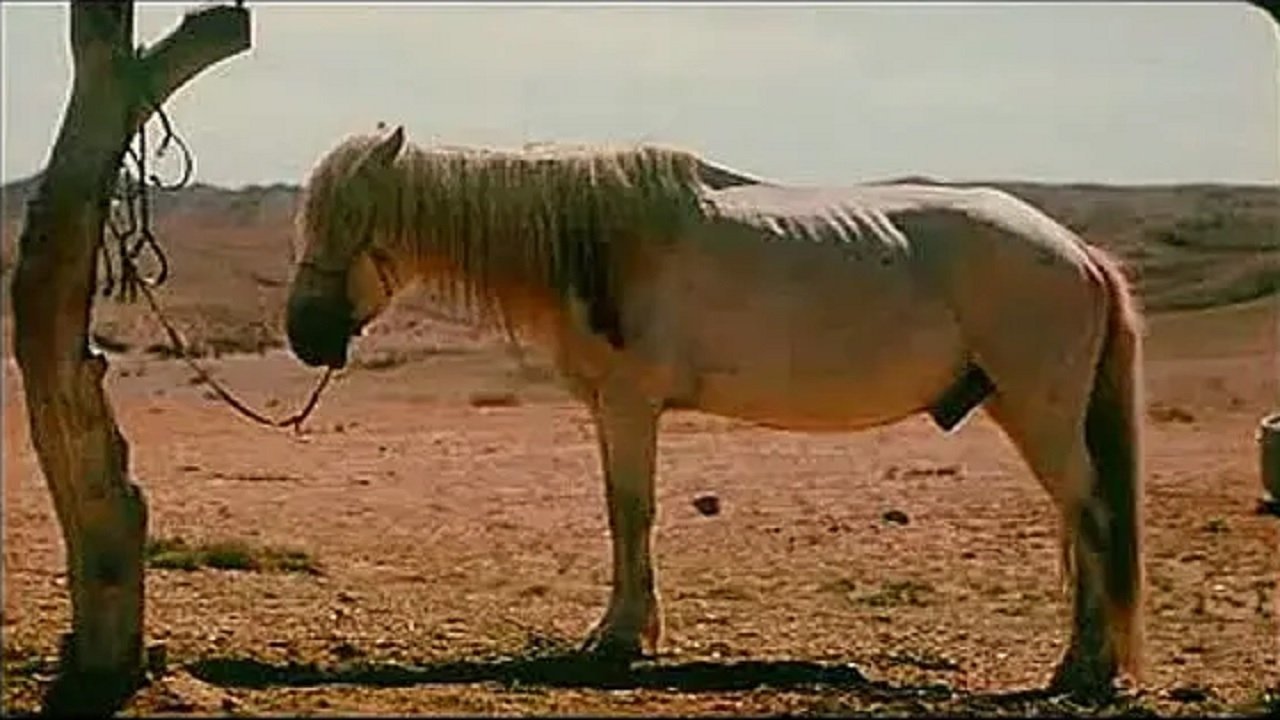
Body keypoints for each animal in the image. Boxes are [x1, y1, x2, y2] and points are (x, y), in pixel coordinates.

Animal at [284, 125, 1145, 699]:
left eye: (356, 222)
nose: (304, 334)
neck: (598, 240)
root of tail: (1075, 251)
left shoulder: (631, 405)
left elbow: (631, 511)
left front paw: (619, 640)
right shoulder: (611, 409)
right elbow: (621, 512)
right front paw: (626, 631)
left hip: (1040, 413)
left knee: (1092, 516)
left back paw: (1082, 669)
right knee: (1080, 521)